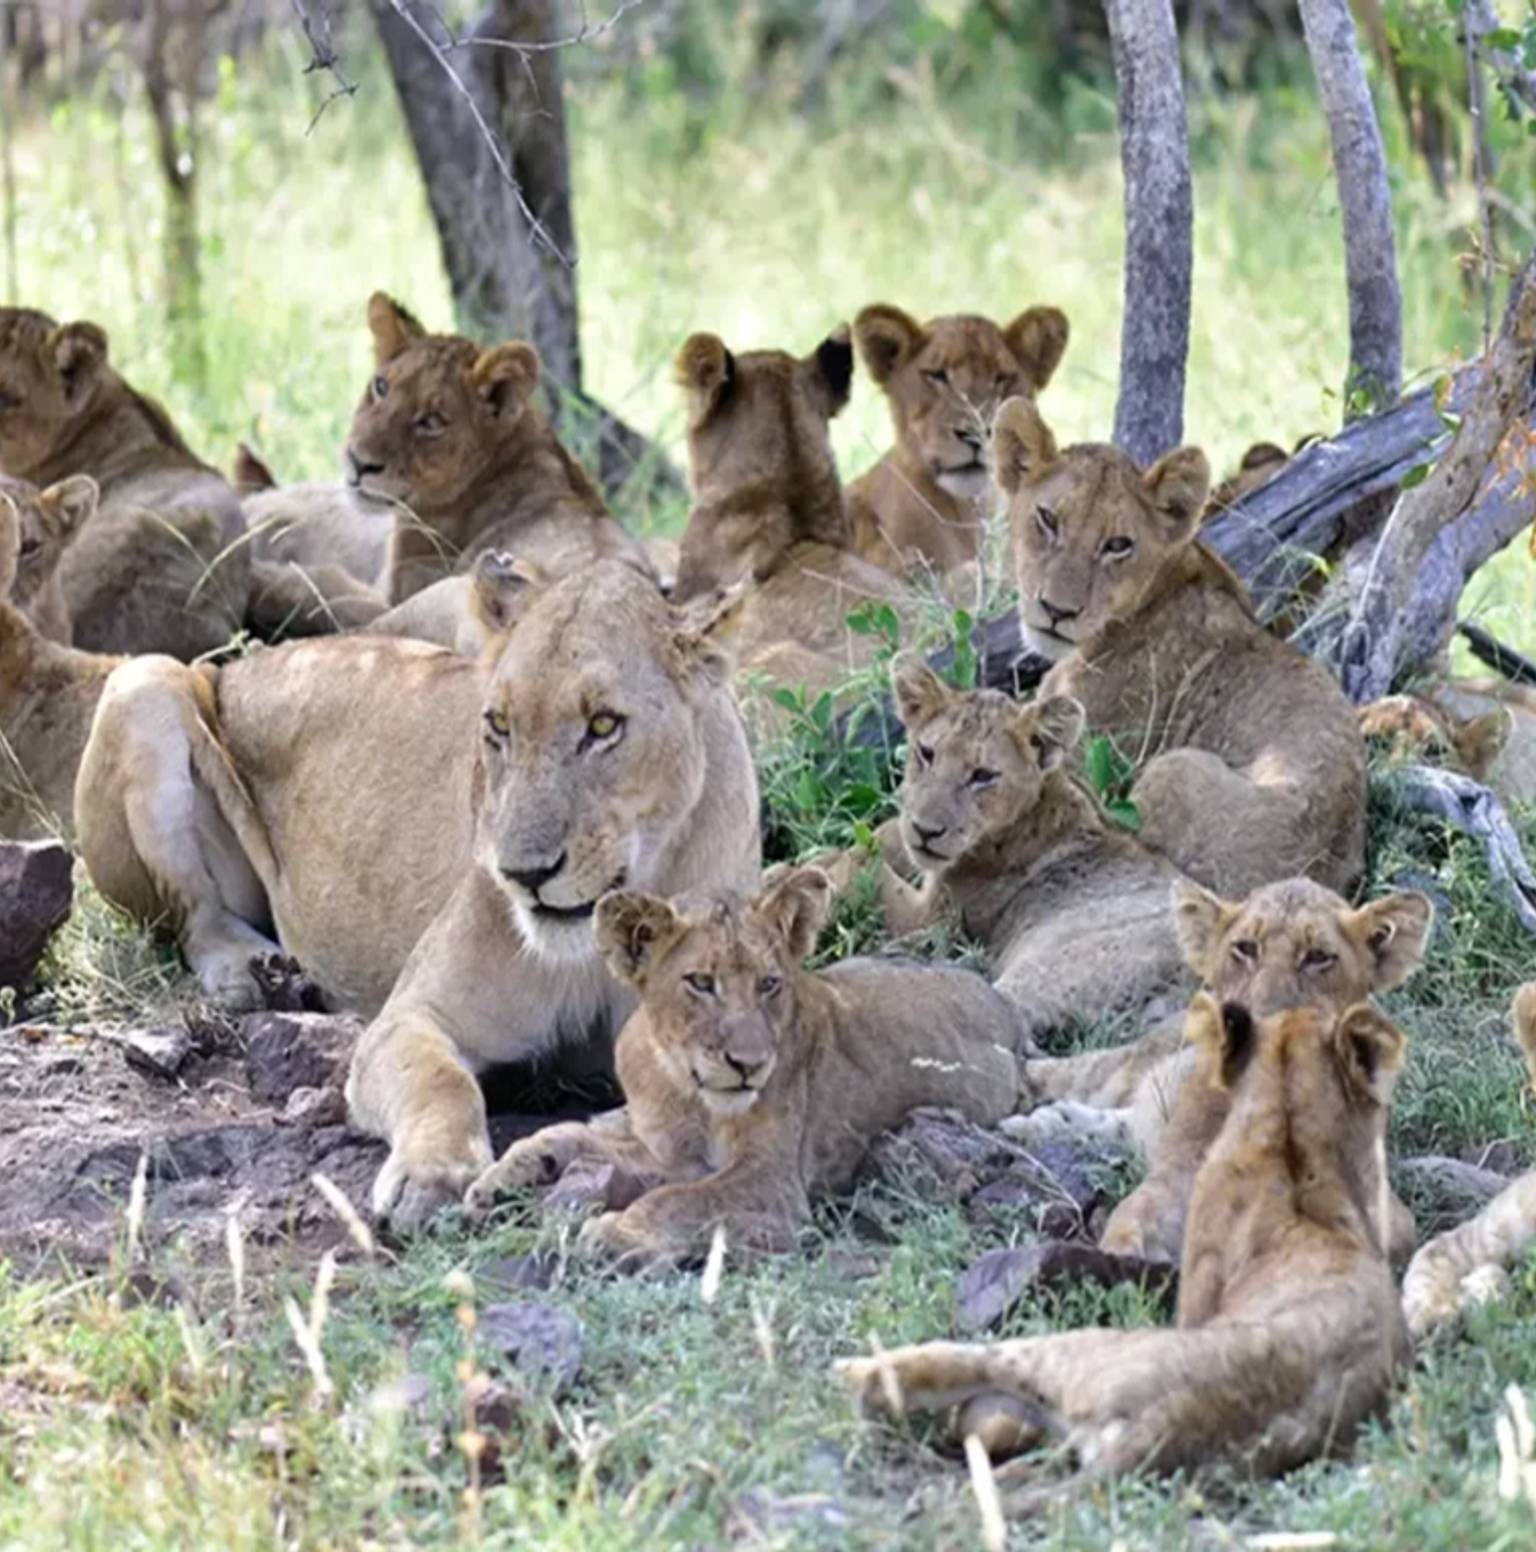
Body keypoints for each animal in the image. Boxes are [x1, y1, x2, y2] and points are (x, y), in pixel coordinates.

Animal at [463, 865, 1021, 1262]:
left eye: (769, 984)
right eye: (701, 983)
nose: (748, 1065)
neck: (685, 1090)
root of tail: (999, 1001)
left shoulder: (772, 1179)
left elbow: (682, 1200)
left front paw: (616, 1230)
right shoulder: (668, 1152)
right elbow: (567, 1133)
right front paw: (495, 1181)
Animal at [874, 654, 1189, 1043]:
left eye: (983, 775)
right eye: (927, 753)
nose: (925, 831)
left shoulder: (932, 921)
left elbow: (865, 873)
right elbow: (880, 837)